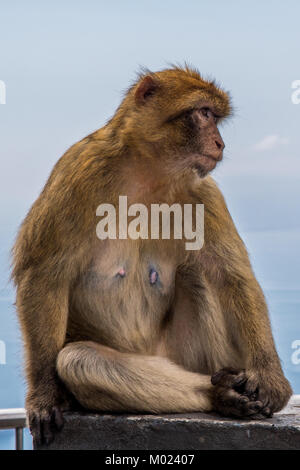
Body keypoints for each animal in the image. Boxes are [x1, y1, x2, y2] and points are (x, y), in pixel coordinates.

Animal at [12, 65, 292, 444]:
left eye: (214, 117)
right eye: (204, 113)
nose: (220, 143)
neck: (148, 172)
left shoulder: (204, 193)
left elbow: (233, 277)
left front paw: (270, 378)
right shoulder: (77, 171)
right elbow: (43, 275)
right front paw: (43, 395)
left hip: (183, 355)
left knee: (198, 273)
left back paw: (227, 391)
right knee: (79, 361)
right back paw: (219, 394)